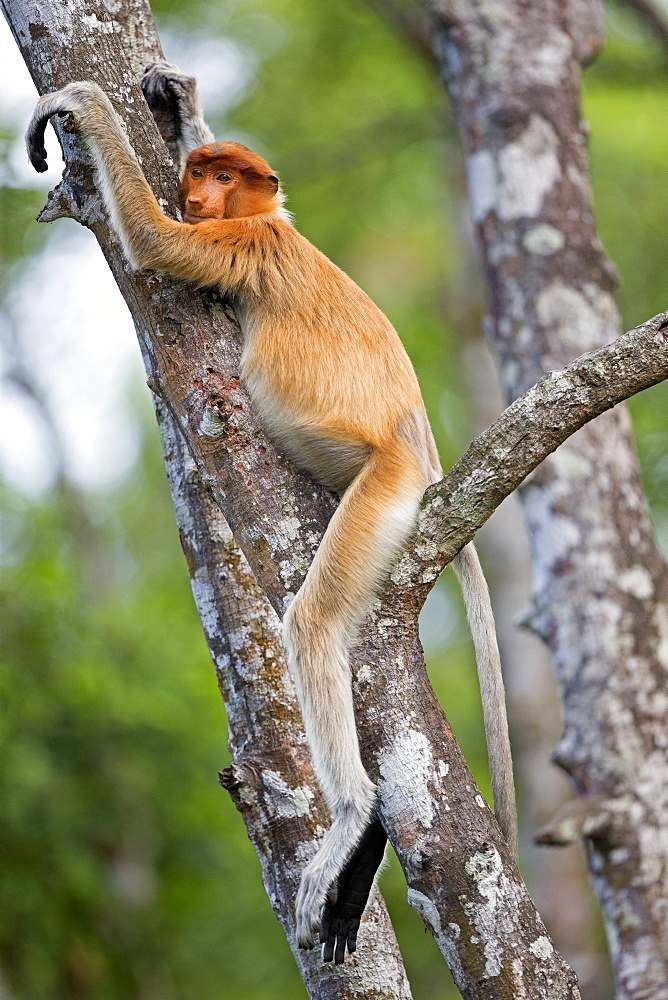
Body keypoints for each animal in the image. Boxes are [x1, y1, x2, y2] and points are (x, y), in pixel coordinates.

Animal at [26, 64, 516, 968]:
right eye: (203, 171)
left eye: (226, 177)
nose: (200, 191)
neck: (262, 222)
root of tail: (421, 448)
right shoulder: (267, 226)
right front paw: (178, 102)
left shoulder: (249, 244)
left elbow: (156, 242)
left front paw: (81, 103)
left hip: (382, 491)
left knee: (313, 623)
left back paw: (356, 822)